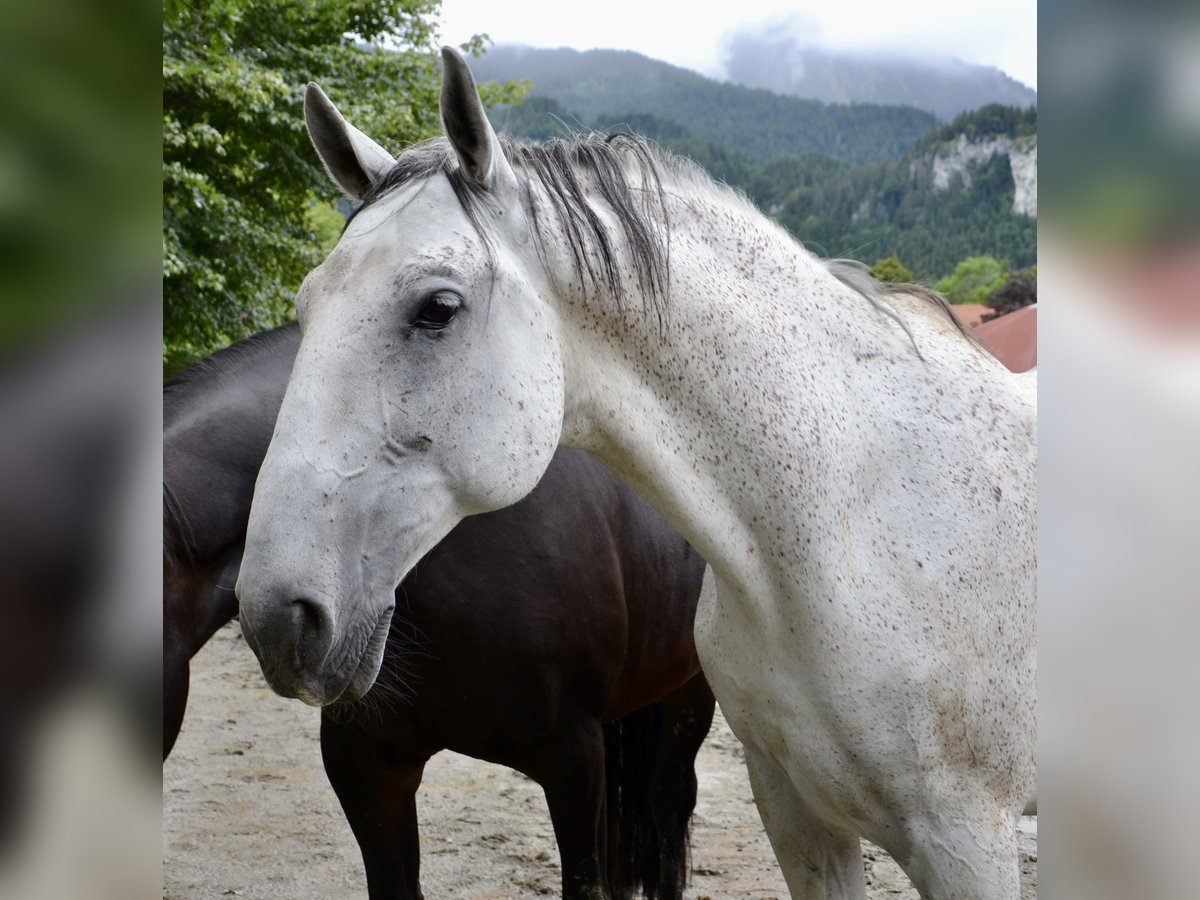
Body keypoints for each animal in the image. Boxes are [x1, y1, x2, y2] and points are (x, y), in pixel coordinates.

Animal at [238, 51, 1036, 900]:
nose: (277, 617)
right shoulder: (799, 818)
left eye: (438, 307)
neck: (848, 535)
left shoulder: (964, 841)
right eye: (307, 305)